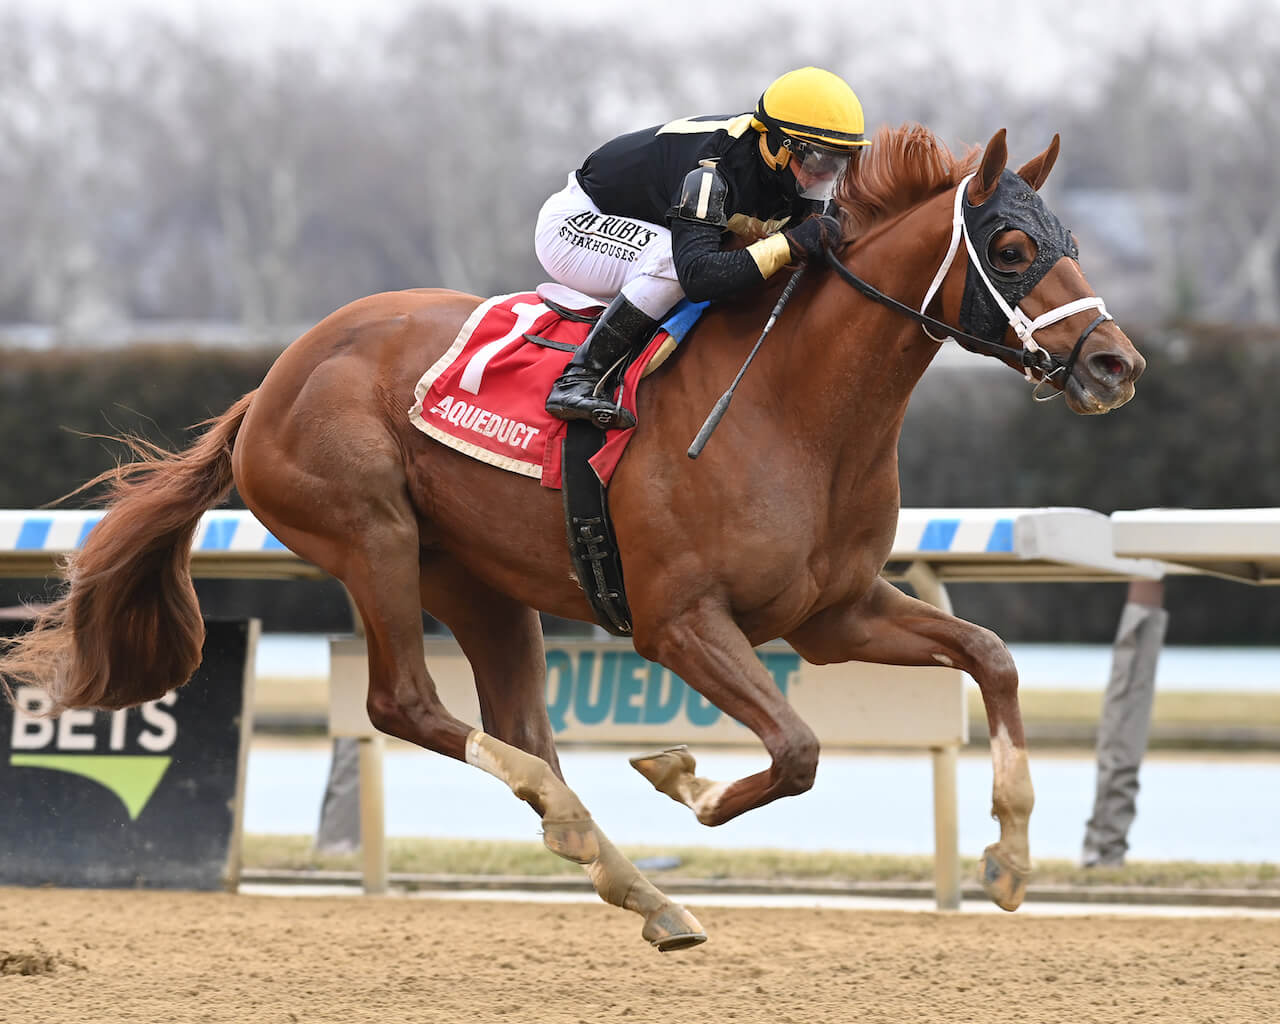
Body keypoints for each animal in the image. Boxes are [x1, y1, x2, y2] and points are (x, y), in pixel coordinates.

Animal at [0, 128, 1141, 952]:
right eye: (1010, 248)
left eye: (1071, 241)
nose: (1115, 365)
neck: (797, 407)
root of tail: (272, 381)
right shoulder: (678, 622)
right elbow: (797, 749)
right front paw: (684, 777)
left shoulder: (835, 612)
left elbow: (989, 657)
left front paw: (1009, 860)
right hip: (372, 535)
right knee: (404, 703)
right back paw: (595, 840)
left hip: (480, 583)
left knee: (517, 728)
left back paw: (630, 881)